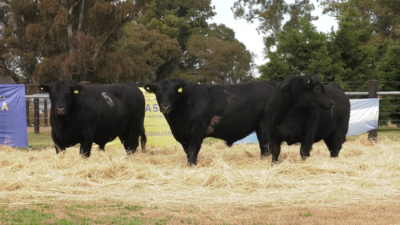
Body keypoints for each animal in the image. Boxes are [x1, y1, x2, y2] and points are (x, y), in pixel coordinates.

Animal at [145, 78, 278, 165]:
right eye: (158, 93)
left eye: (173, 93)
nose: (165, 107)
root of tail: (268, 83)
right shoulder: (182, 136)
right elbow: (187, 152)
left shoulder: (197, 131)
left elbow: (193, 150)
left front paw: (192, 165)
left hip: (264, 127)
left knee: (265, 146)